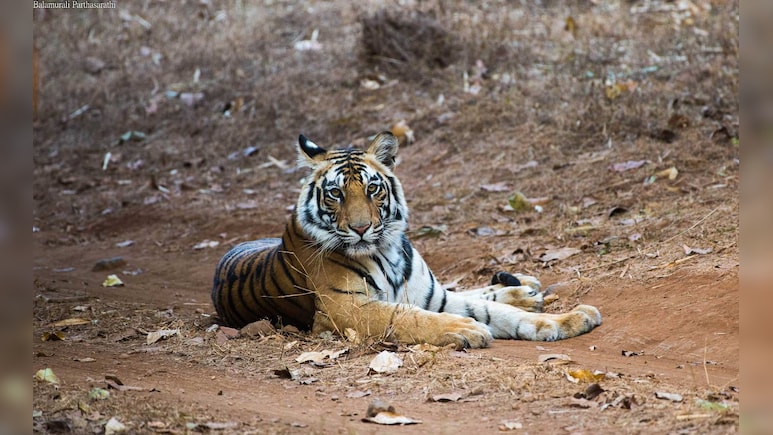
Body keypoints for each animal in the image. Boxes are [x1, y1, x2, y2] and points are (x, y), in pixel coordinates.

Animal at [211, 132, 601, 348]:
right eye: (335, 193)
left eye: (372, 189)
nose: (361, 228)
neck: (386, 251)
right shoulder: (345, 309)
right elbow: (412, 318)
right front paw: (465, 329)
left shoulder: (427, 296)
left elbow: (494, 311)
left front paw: (570, 319)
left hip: (434, 291)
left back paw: (525, 290)